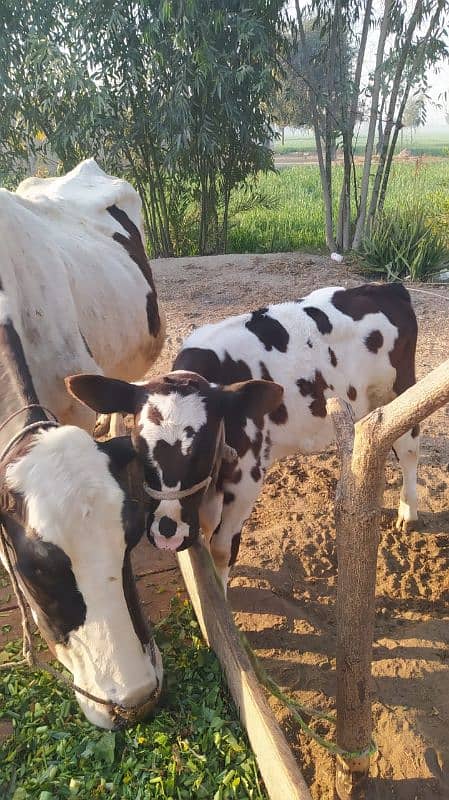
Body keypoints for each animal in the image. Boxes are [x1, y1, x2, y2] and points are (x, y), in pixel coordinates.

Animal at [67, 284, 420, 592]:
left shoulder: (247, 478)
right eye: (140, 448)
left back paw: (408, 511)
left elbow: (222, 547)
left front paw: (223, 592)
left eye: (202, 448)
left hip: (400, 388)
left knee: (408, 448)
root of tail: (387, 287)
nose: (168, 532)